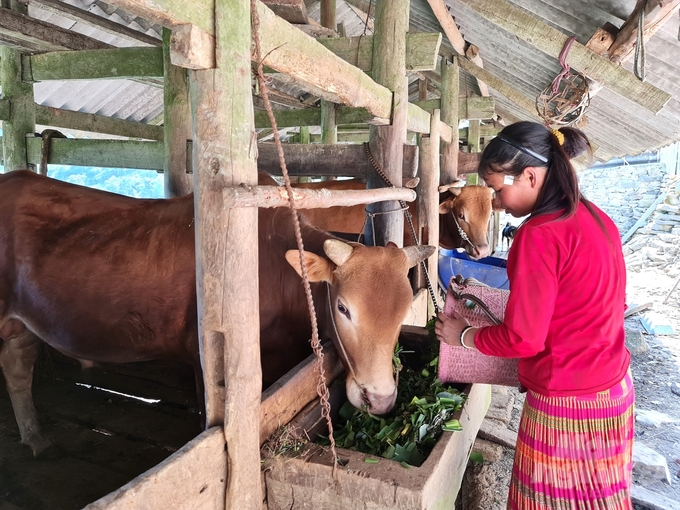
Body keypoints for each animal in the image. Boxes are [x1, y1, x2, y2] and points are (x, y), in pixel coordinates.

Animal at [0, 172, 432, 458]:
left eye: (402, 312)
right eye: (344, 308)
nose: (380, 399)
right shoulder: (210, 359)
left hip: (21, 325)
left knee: (17, 369)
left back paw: (36, 438)